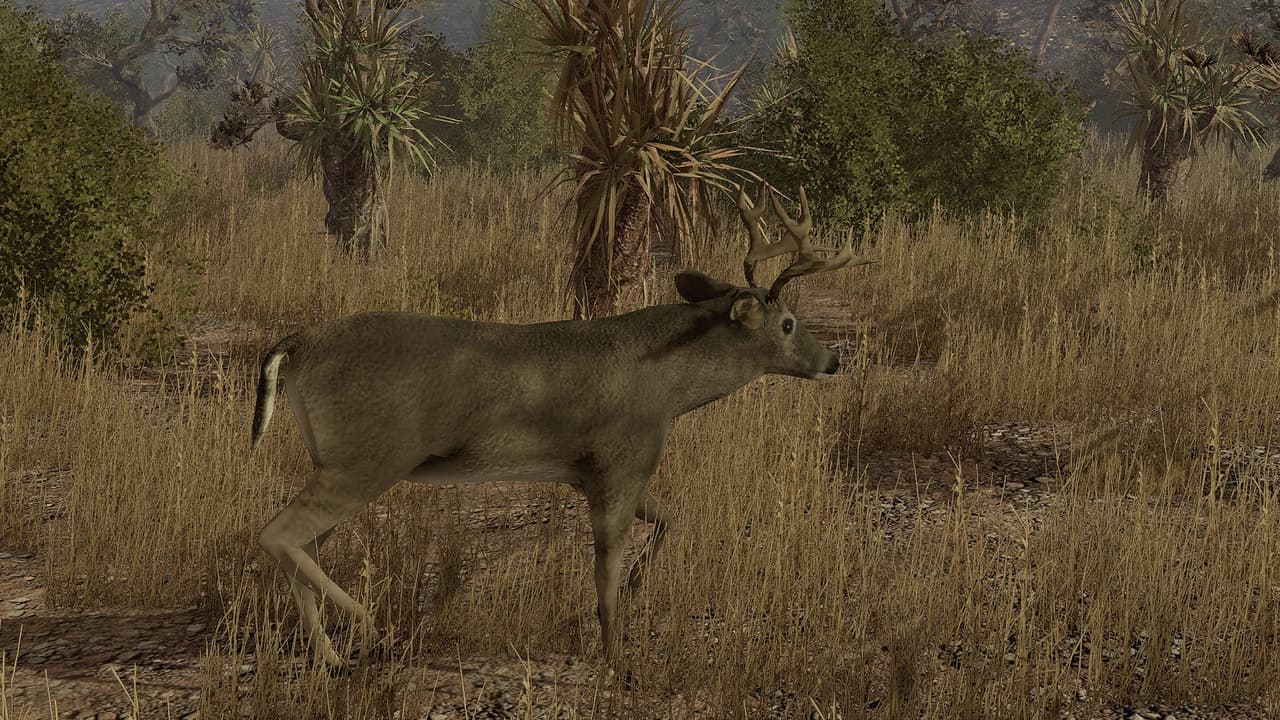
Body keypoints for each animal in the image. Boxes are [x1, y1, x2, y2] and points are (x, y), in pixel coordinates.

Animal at [251, 183, 874, 670]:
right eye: (789, 323)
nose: (832, 361)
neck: (666, 386)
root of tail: (297, 343)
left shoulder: (596, 473)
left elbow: (669, 521)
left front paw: (638, 591)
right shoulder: (621, 461)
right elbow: (605, 574)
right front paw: (618, 659)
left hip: (338, 461)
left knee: (301, 545)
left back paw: (332, 657)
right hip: (369, 456)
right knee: (276, 533)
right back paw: (368, 621)